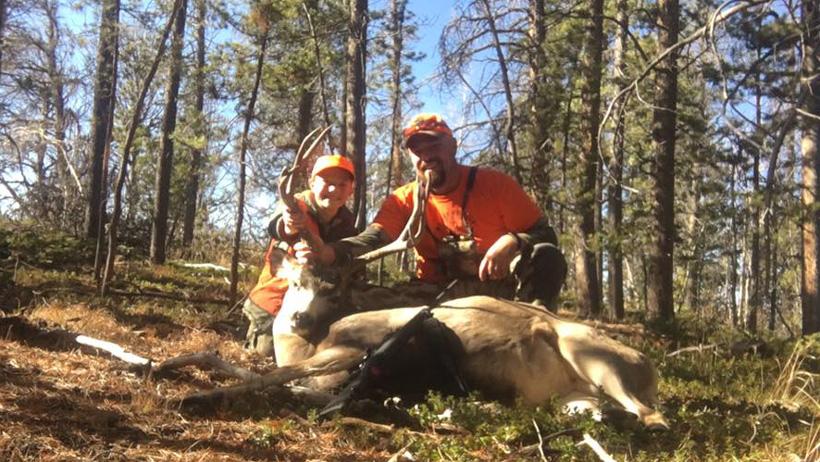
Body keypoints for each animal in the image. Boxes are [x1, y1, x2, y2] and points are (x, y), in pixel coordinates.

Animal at [223, 128, 670, 430]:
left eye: (334, 292)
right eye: (296, 282)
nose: (298, 319)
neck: (307, 343)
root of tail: (649, 365)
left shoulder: (349, 347)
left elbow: (272, 376)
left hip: (591, 353)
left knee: (651, 415)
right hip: (572, 393)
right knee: (599, 410)